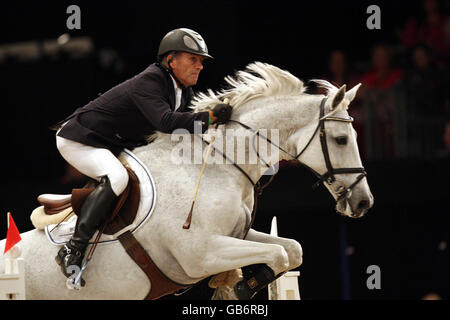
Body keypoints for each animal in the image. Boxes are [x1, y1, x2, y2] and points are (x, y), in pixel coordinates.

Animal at [0, 62, 372, 300]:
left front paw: (243, 283)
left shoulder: (235, 235)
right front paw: (242, 286)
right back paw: (71, 261)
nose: (363, 202)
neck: (220, 165)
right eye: (341, 139)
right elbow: (279, 255)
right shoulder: (201, 254)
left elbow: (291, 250)